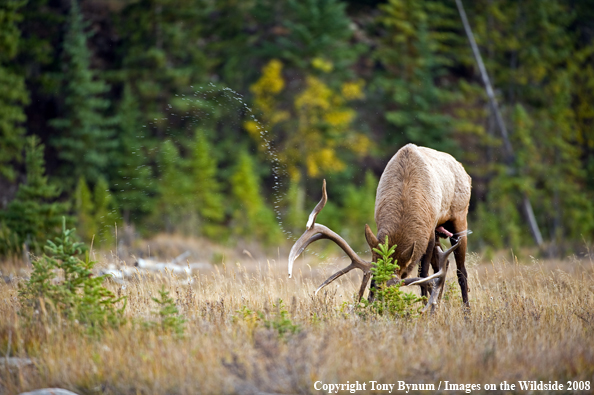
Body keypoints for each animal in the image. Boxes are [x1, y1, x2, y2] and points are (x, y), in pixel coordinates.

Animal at [288, 144, 472, 314]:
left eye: (393, 290)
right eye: (373, 283)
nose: (375, 307)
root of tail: (464, 171)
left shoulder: (430, 231)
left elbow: (424, 275)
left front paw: (426, 307)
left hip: (459, 219)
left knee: (460, 271)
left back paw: (466, 312)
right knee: (445, 263)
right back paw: (439, 303)